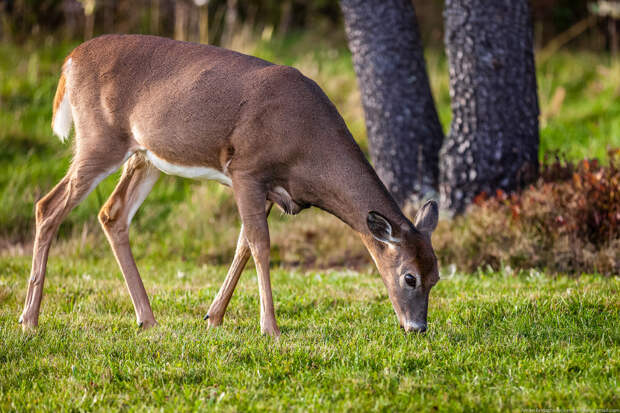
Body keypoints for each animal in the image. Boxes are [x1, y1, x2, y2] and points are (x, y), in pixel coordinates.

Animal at [19, 33, 440, 336]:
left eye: (436, 277)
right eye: (409, 277)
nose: (417, 328)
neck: (308, 144)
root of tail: (69, 61)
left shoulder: (270, 188)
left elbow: (242, 246)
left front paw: (213, 317)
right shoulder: (247, 169)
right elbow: (260, 245)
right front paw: (270, 328)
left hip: (144, 156)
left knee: (112, 213)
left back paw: (147, 319)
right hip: (99, 138)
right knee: (48, 206)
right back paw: (29, 319)